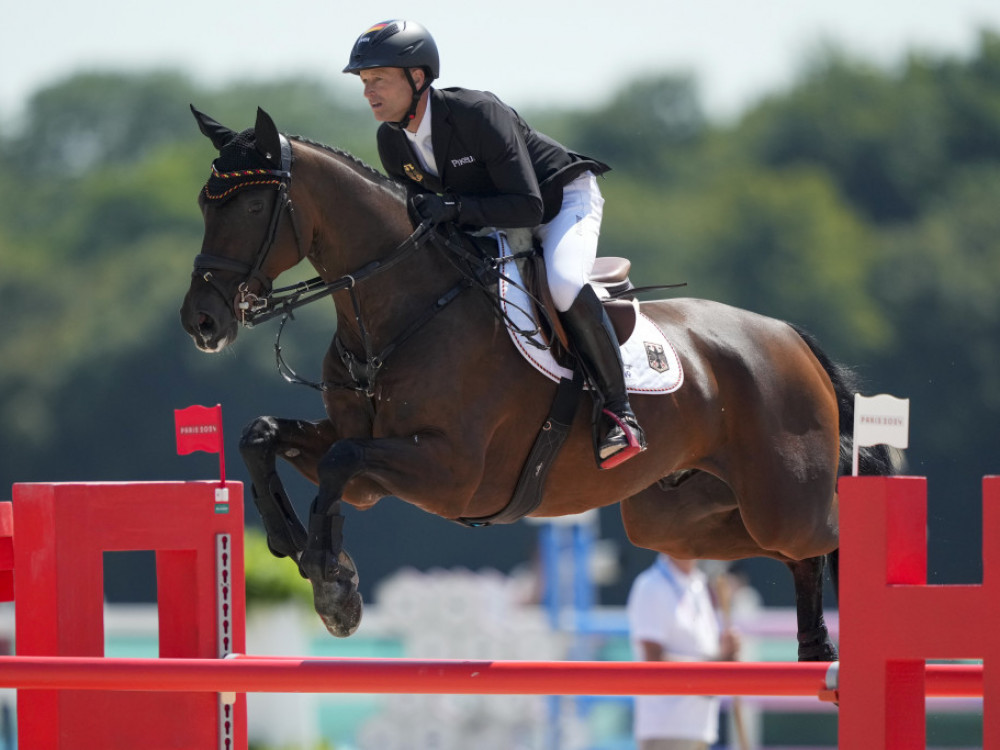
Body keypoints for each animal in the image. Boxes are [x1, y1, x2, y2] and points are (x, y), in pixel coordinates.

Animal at [182, 107, 900, 664]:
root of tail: (789, 337)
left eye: (252, 203)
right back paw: (814, 650)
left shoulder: (451, 472)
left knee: (827, 534)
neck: (402, 310)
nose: (202, 321)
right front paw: (298, 549)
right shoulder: (369, 474)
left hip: (783, 500)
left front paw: (334, 585)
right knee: (789, 554)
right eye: (202, 203)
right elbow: (264, 438)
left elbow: (339, 459)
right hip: (676, 520)